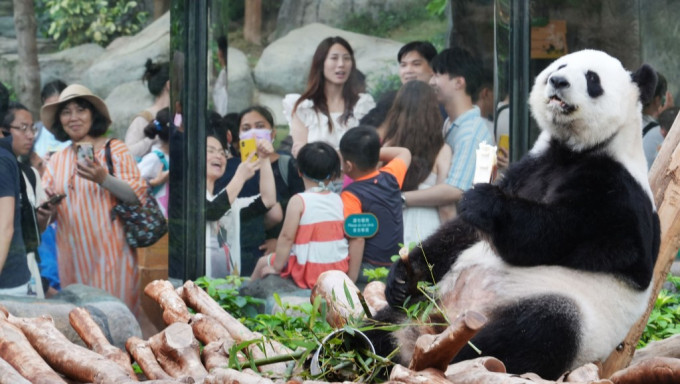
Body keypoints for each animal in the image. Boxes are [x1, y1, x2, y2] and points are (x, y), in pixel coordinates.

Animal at [370, 49, 660, 380]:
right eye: (561, 66)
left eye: (592, 78)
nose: (557, 81)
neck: (575, 150)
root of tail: (443, 320)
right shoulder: (532, 166)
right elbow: (460, 233)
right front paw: (405, 275)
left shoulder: (618, 197)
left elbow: (553, 234)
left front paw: (483, 201)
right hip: (429, 301)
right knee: (384, 321)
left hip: (570, 317)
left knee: (533, 331)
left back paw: (439, 353)